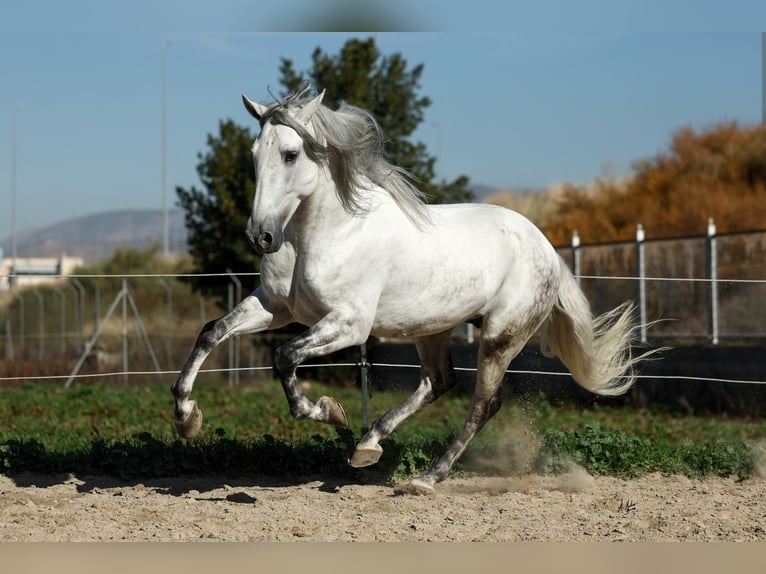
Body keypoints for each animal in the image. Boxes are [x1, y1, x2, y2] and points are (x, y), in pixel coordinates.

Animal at [170, 88, 656, 498]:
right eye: (254, 155)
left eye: (290, 154)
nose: (261, 236)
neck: (329, 233)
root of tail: (547, 248)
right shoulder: (275, 308)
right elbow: (211, 332)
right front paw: (186, 417)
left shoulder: (349, 324)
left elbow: (285, 357)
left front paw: (329, 410)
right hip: (432, 327)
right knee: (439, 382)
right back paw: (368, 446)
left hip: (500, 337)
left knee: (483, 403)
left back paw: (425, 478)